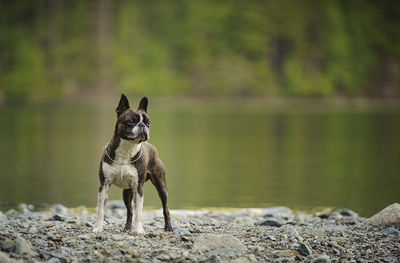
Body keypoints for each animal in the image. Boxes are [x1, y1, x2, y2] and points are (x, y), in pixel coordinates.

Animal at [93, 95, 173, 235]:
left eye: (148, 123)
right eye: (131, 122)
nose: (142, 125)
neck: (127, 149)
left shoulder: (138, 188)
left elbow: (139, 213)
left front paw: (139, 230)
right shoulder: (104, 186)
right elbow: (100, 210)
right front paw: (98, 228)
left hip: (161, 187)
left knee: (165, 208)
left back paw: (168, 227)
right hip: (127, 192)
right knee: (129, 211)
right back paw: (127, 228)